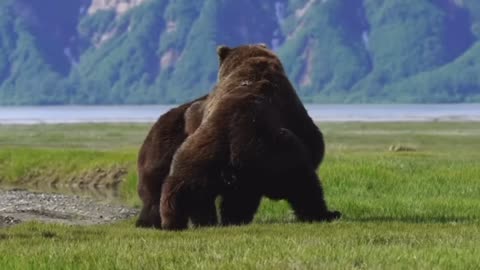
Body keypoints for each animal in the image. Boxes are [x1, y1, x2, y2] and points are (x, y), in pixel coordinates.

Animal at [159, 44, 340, 230]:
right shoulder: (290, 104)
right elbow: (313, 139)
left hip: (200, 163)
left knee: (189, 192)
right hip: (275, 151)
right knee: (304, 183)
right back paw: (325, 213)